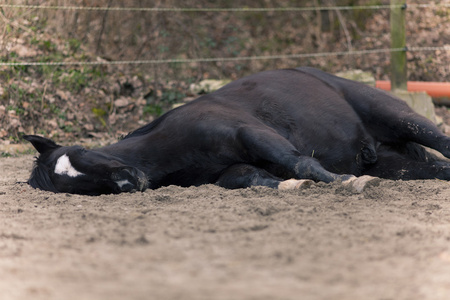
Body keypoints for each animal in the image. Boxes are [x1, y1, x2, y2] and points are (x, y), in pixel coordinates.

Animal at [23, 67, 450, 196]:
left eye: (81, 154)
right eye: (73, 184)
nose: (129, 180)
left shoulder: (251, 133)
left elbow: (301, 163)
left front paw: (346, 181)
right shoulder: (231, 172)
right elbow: (258, 178)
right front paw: (292, 187)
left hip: (396, 115)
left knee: (441, 141)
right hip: (397, 163)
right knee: (437, 168)